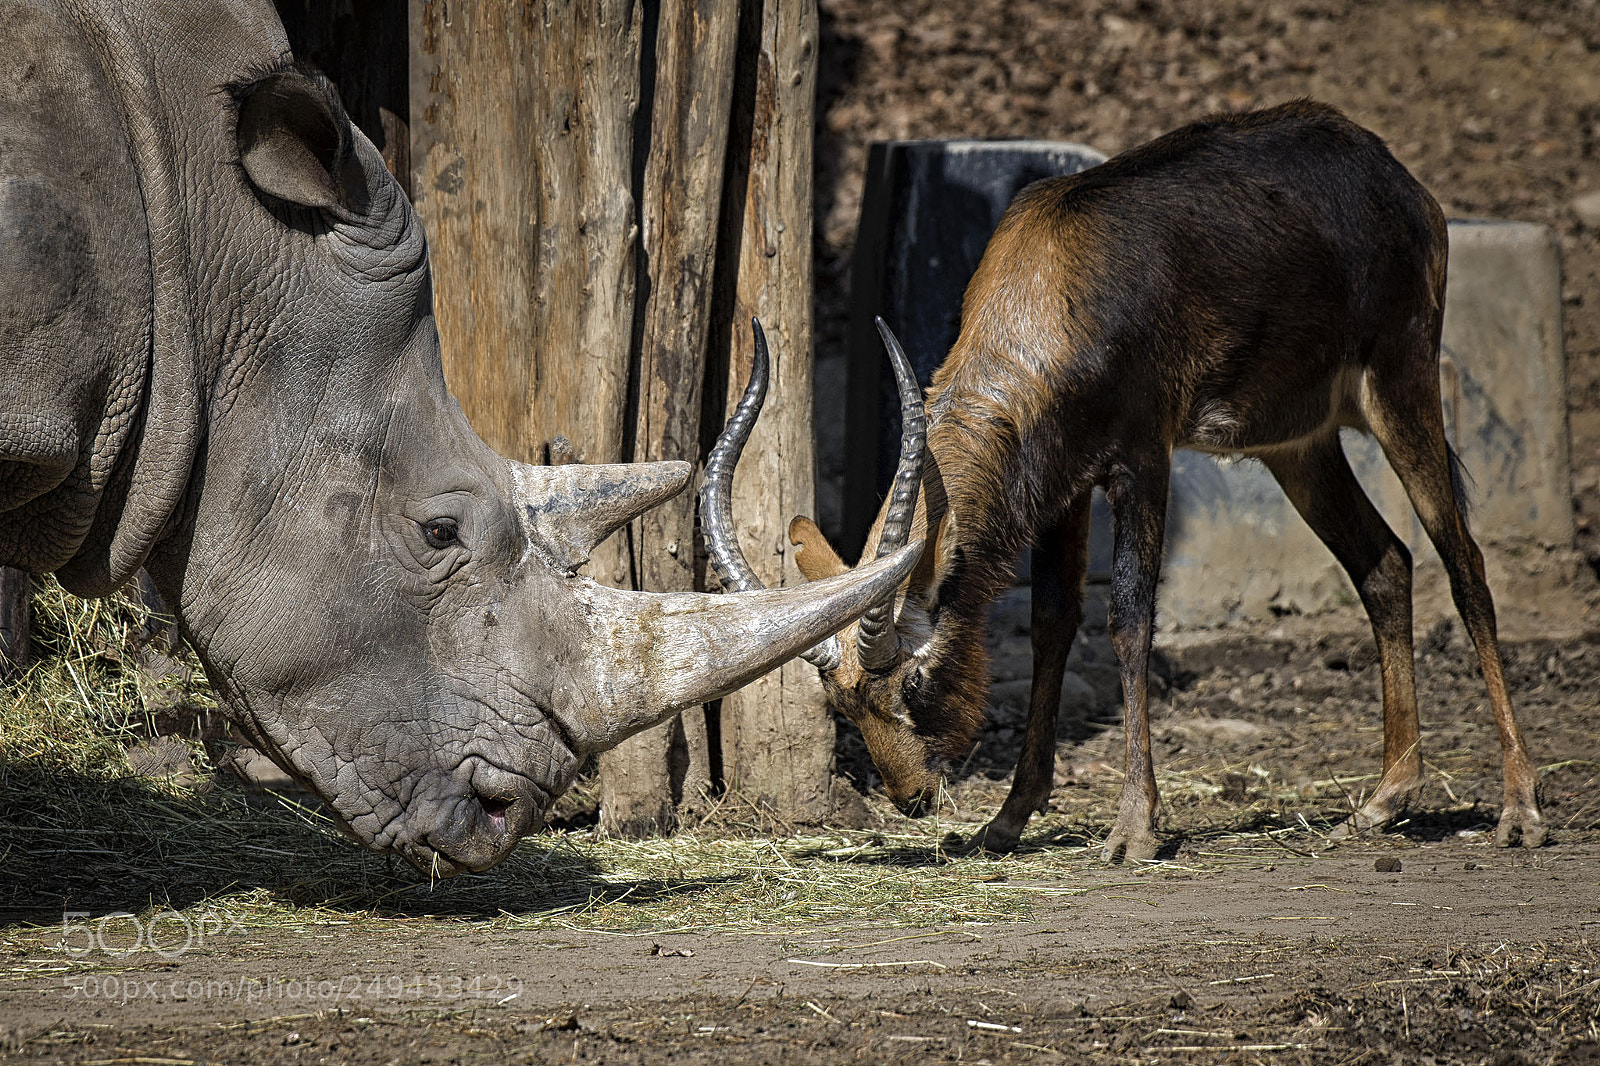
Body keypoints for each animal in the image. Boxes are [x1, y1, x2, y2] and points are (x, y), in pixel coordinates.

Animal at [704, 104, 1548, 857]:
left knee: (1464, 561)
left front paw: (1134, 828)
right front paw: (1007, 822)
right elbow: (1052, 622)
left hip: (1401, 384)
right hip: (1299, 446)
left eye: (908, 685)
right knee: (1385, 562)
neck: (1056, 278)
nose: (912, 795)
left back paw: (1519, 811)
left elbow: (1131, 617)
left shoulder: (1143, 457)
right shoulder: (1062, 486)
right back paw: (1380, 802)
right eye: (840, 702)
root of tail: (1397, 178)